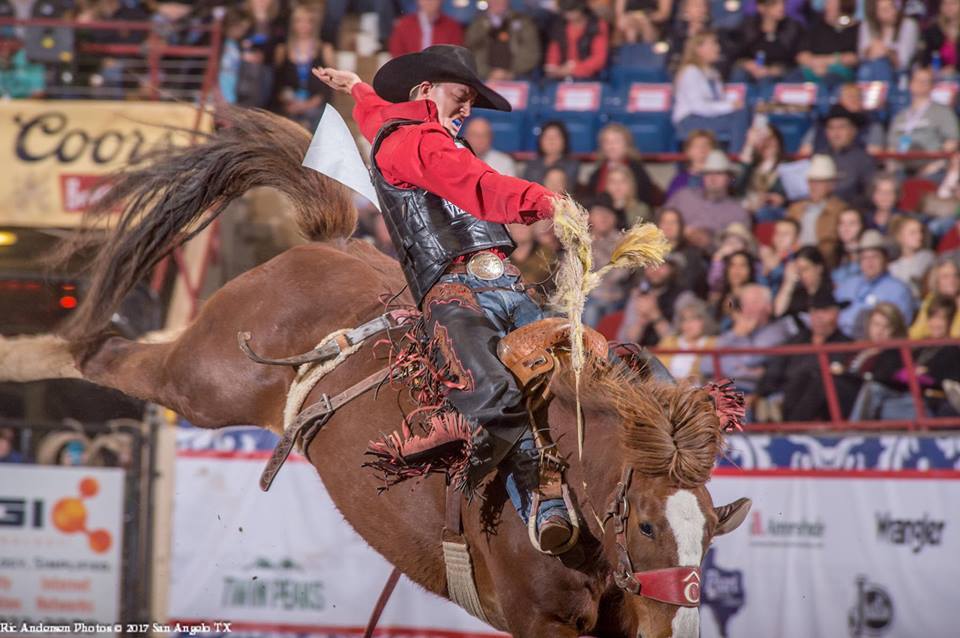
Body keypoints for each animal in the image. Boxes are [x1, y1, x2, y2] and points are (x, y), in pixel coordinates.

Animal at [5, 110, 752, 638]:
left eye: (712, 529)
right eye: (649, 526)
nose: (677, 623)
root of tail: (325, 244)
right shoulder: (542, 622)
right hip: (205, 381)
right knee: (106, 355)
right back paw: (19, 354)